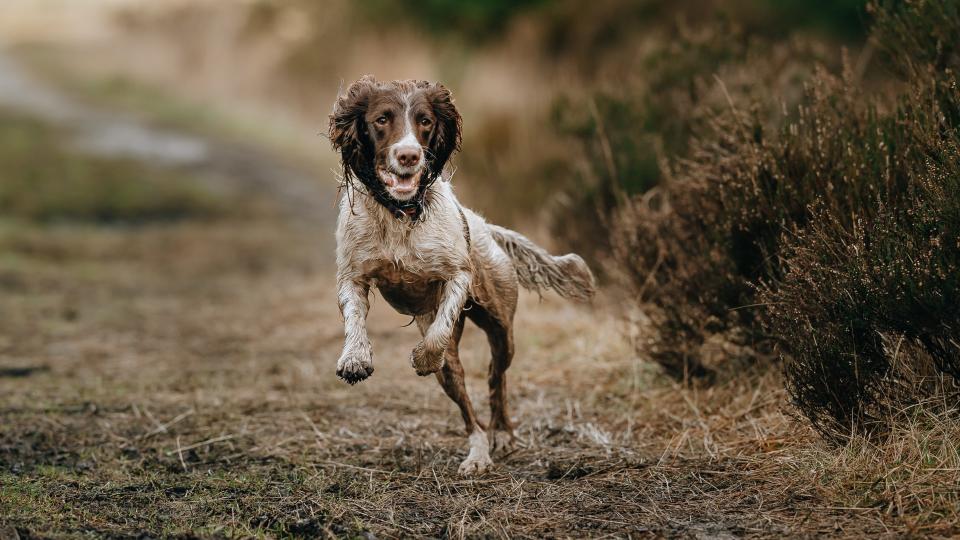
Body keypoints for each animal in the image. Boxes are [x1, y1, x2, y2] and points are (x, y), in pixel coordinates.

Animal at [330, 77, 596, 476]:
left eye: (425, 121)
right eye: (381, 119)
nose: (409, 155)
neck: (400, 214)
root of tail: (485, 226)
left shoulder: (457, 276)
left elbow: (438, 335)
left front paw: (423, 359)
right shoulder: (353, 274)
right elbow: (354, 317)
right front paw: (355, 359)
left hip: (502, 329)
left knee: (495, 377)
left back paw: (501, 435)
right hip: (453, 373)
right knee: (468, 409)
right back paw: (479, 451)